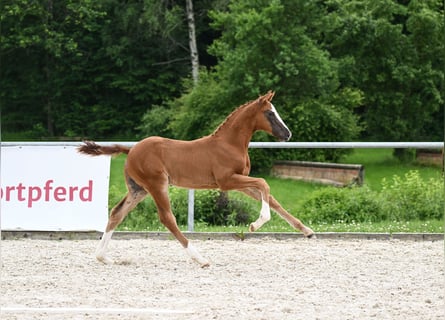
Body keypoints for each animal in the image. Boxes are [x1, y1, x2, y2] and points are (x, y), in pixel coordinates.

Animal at [79, 91, 316, 266]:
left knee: (117, 213)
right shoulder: (226, 181)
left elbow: (271, 197)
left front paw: (308, 232)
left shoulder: (240, 181)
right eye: (270, 113)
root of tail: (131, 150)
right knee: (167, 218)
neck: (229, 143)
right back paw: (200, 259)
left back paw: (103, 257)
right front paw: (255, 225)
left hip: (139, 189)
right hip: (157, 185)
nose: (287, 134)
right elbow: (264, 183)